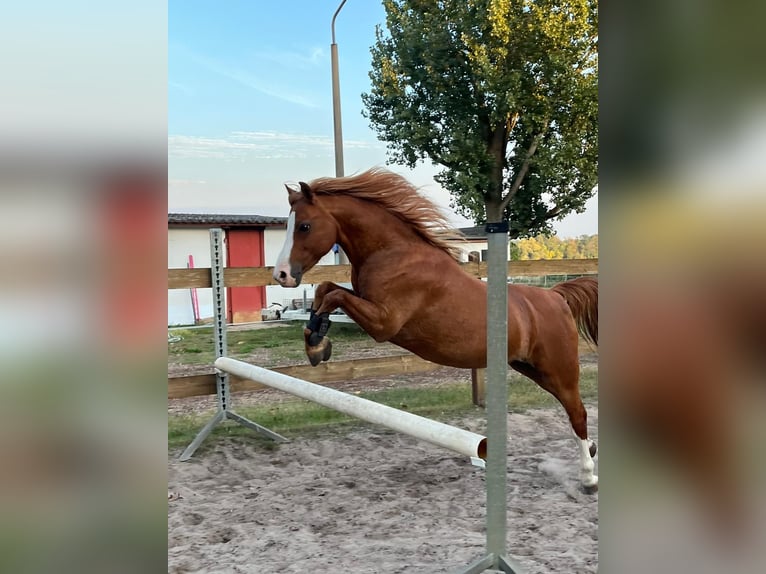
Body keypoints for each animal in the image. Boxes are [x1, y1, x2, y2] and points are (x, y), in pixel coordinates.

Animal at [272, 169, 604, 492]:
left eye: (304, 226)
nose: (281, 275)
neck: (393, 253)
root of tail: (556, 296)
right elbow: (325, 290)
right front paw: (315, 342)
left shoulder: (384, 322)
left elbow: (333, 295)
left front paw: (317, 342)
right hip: (529, 367)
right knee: (574, 413)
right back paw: (592, 450)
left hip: (558, 370)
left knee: (578, 413)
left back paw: (589, 478)